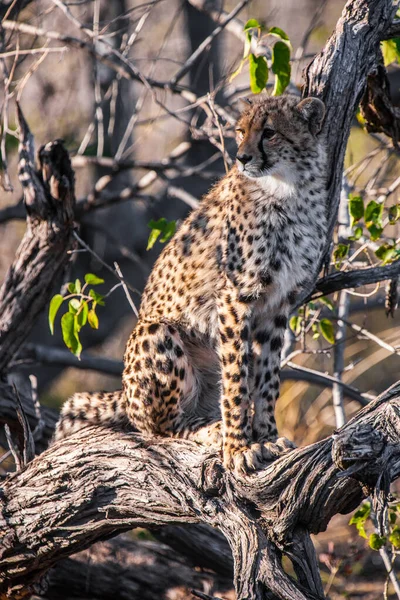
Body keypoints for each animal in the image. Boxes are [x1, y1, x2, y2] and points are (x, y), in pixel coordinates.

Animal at [55, 94, 328, 474]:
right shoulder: (235, 296)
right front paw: (237, 447)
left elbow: (267, 379)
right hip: (157, 332)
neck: (289, 189)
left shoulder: (278, 304)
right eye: (241, 131)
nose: (242, 157)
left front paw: (267, 436)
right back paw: (210, 430)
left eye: (269, 132)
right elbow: (236, 380)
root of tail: (124, 393)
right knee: (161, 428)